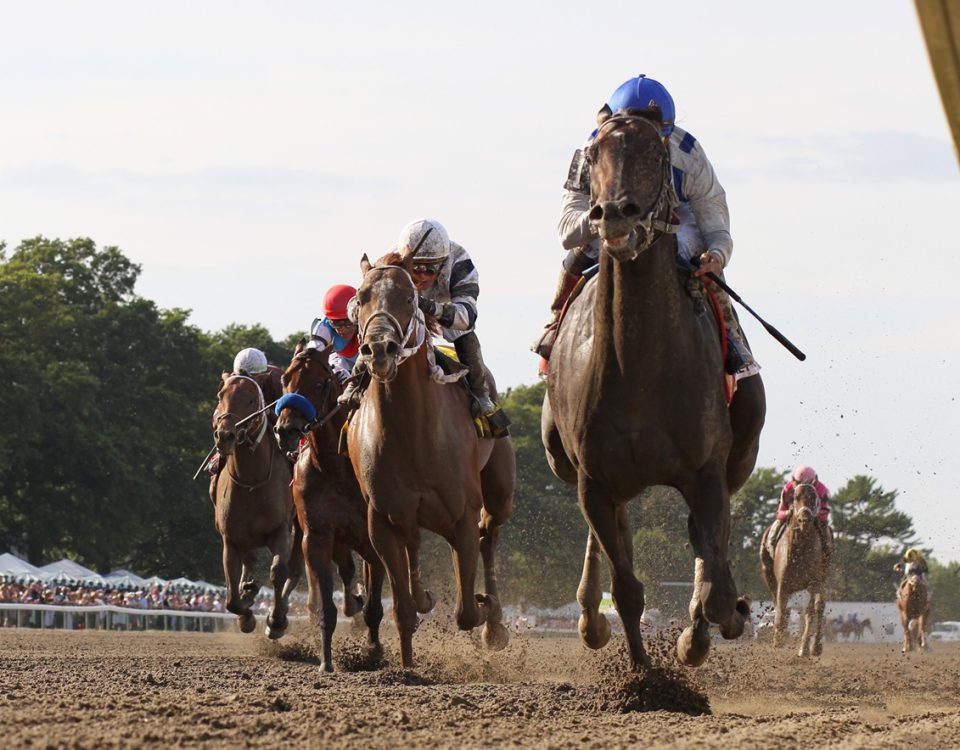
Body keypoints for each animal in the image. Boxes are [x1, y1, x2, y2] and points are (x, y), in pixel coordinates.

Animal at [213, 374, 296, 636]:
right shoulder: (231, 539)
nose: (225, 435)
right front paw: (246, 617)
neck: (251, 481)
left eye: (250, 400)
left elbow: (279, 572)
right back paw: (249, 589)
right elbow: (231, 598)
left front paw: (276, 621)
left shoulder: (281, 530)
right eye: (221, 395)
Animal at [272, 344, 384, 672]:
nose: (286, 430)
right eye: (285, 378)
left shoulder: (373, 537)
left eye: (320, 383)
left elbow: (376, 605)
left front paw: (373, 652)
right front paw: (326, 662)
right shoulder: (317, 536)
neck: (336, 467)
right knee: (345, 571)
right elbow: (326, 604)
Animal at [350, 253, 516, 668]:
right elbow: (403, 610)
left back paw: (494, 623)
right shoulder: (381, 520)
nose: (379, 350)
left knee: (489, 534)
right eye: (360, 297)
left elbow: (466, 611)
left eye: (409, 298)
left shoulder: (462, 515)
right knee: (415, 544)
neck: (414, 435)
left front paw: (485, 610)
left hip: (500, 491)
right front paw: (408, 667)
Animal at [544, 108, 768, 672]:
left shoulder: (707, 473)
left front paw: (706, 631)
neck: (639, 368)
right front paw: (643, 675)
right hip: (563, 458)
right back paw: (588, 616)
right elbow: (626, 588)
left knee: (709, 542)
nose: (613, 215)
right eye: (594, 155)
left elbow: (713, 589)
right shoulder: (594, 482)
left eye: (655, 154)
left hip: (742, 450)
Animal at [760, 484, 828, 656]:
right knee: (780, 607)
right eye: (795, 497)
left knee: (812, 609)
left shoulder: (815, 582)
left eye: (814, 497)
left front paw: (812, 647)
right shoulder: (783, 584)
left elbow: (815, 608)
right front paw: (778, 640)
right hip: (768, 574)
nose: (805, 519)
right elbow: (780, 614)